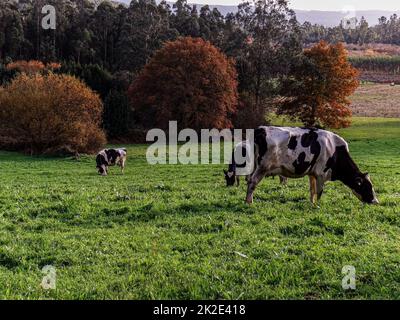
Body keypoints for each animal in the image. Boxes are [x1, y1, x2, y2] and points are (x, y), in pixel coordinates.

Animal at [245, 126, 380, 206]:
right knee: (252, 182)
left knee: (249, 180)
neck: (335, 150)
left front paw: (312, 203)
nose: (376, 201)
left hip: (254, 166)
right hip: (263, 167)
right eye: (367, 187)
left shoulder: (312, 173)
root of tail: (260, 129)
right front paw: (317, 205)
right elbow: (319, 192)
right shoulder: (321, 174)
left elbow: (312, 190)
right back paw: (249, 202)